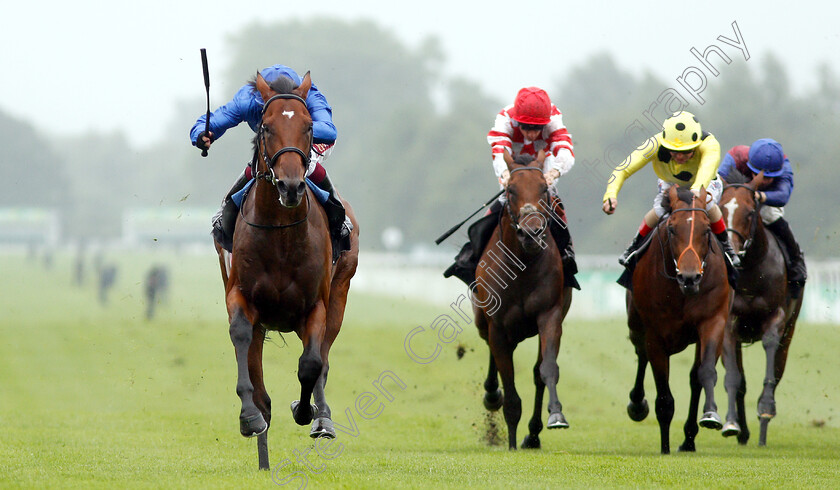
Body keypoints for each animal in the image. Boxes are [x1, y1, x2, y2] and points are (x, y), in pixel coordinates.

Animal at [212, 71, 360, 468]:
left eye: (309, 126)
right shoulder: (241, 297)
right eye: (266, 126)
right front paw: (250, 417)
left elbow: (311, 363)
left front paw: (307, 412)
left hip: (340, 293)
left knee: (323, 357)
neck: (280, 234)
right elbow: (240, 340)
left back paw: (321, 418)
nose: (291, 186)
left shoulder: (315, 306)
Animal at [472, 155, 572, 450]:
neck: (523, 266)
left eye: (543, 188)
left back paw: (534, 434)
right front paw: (512, 442)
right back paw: (492, 395)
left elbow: (546, 369)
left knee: (537, 373)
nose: (531, 233)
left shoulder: (550, 315)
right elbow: (509, 385)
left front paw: (556, 415)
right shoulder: (497, 326)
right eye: (511, 189)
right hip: (483, 322)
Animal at [628, 186, 732, 454]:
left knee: (695, 377)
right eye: (672, 229)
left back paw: (689, 438)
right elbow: (664, 396)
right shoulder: (655, 335)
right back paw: (637, 404)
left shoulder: (713, 321)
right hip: (635, 325)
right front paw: (665, 447)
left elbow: (705, 372)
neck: (681, 292)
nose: (690, 277)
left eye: (707, 229)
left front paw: (710, 415)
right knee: (640, 354)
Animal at [720, 170, 804, 446]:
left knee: (777, 369)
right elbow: (734, 378)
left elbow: (770, 365)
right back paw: (743, 431)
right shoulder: (729, 324)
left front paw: (766, 408)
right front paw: (731, 424)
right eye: (721, 209)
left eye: (749, 212)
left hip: (789, 332)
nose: (731, 253)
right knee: (741, 380)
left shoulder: (776, 318)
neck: (750, 272)